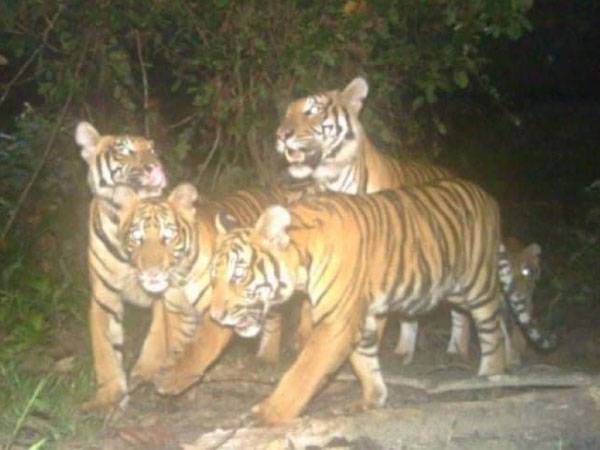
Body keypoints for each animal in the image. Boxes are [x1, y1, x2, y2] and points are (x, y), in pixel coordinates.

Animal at [76, 120, 169, 412]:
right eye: (125, 150)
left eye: (152, 149)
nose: (156, 166)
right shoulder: (104, 298)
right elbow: (104, 350)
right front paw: (109, 395)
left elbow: (159, 332)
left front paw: (146, 371)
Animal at [209, 178, 556, 426]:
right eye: (214, 277)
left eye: (238, 275)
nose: (215, 315)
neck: (303, 261)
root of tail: (488, 197)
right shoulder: (359, 319)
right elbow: (365, 362)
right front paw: (373, 399)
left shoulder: (336, 321)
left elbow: (302, 372)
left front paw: (267, 414)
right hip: (455, 288)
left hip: (477, 285)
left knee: (494, 327)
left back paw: (492, 378)